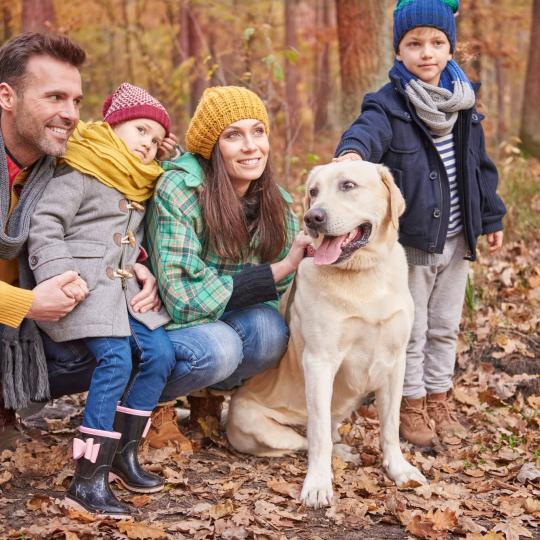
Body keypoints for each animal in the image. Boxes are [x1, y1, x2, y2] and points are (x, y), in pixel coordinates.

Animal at [225, 159, 426, 506]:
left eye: (348, 185)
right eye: (313, 192)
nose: (312, 218)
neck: (362, 274)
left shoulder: (395, 361)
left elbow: (390, 425)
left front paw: (399, 468)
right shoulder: (319, 361)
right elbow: (318, 437)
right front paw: (318, 484)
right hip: (255, 424)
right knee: (307, 438)